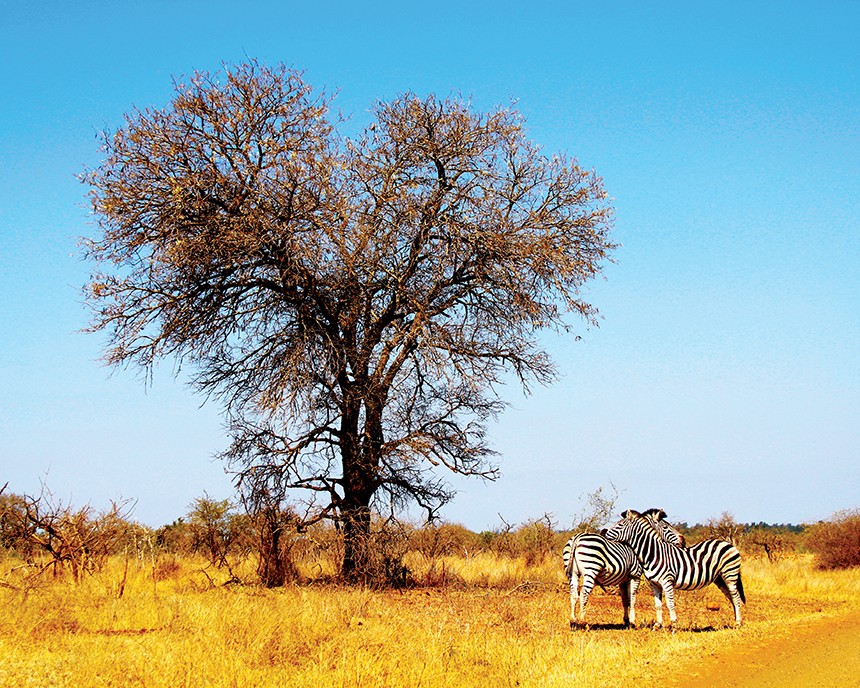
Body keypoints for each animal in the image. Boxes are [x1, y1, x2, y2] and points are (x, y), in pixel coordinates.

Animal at [604, 508, 744, 632]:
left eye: (620, 524)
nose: (603, 531)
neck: (653, 554)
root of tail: (727, 543)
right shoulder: (654, 584)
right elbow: (658, 605)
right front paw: (657, 625)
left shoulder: (667, 582)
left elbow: (670, 604)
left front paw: (674, 626)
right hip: (720, 579)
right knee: (732, 597)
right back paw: (735, 621)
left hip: (730, 575)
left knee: (736, 597)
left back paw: (738, 624)